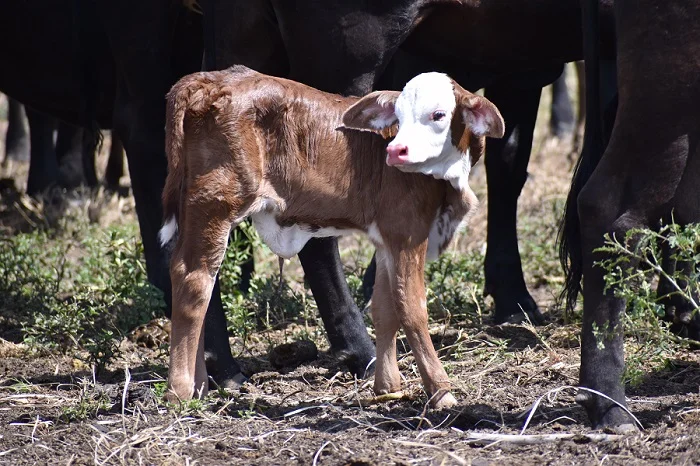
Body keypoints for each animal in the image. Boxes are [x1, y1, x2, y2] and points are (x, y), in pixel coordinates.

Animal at [160, 66, 504, 406]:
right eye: (399, 114)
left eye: (438, 115)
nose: (396, 150)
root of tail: (211, 79)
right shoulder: (407, 232)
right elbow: (412, 306)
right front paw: (440, 390)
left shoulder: (387, 237)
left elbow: (384, 308)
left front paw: (388, 385)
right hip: (216, 203)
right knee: (194, 280)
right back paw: (180, 390)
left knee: (201, 282)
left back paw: (199, 386)